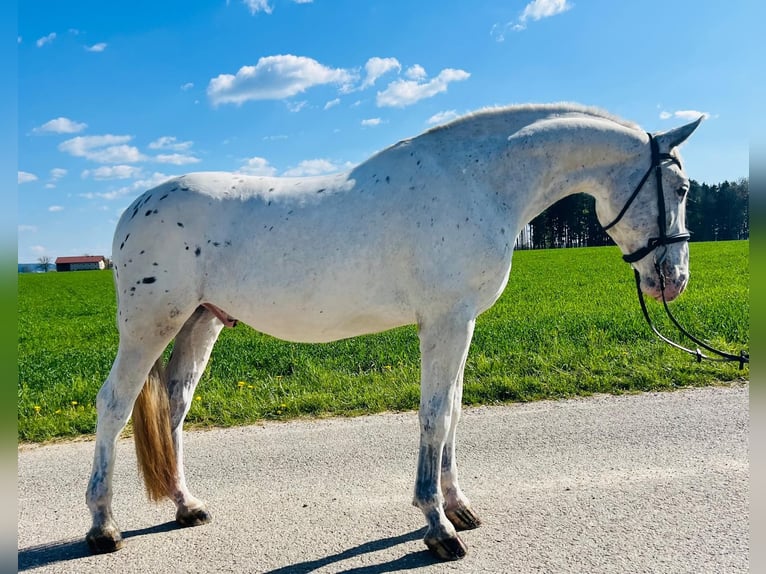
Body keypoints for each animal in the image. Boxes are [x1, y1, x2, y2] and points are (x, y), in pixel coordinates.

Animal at [85, 103, 702, 560]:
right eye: (681, 188)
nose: (673, 280)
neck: (477, 182)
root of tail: (133, 208)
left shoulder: (461, 322)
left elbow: (452, 410)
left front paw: (459, 507)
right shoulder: (445, 321)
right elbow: (434, 415)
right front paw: (437, 527)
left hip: (201, 321)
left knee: (173, 406)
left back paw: (185, 506)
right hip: (150, 326)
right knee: (114, 405)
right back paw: (102, 525)